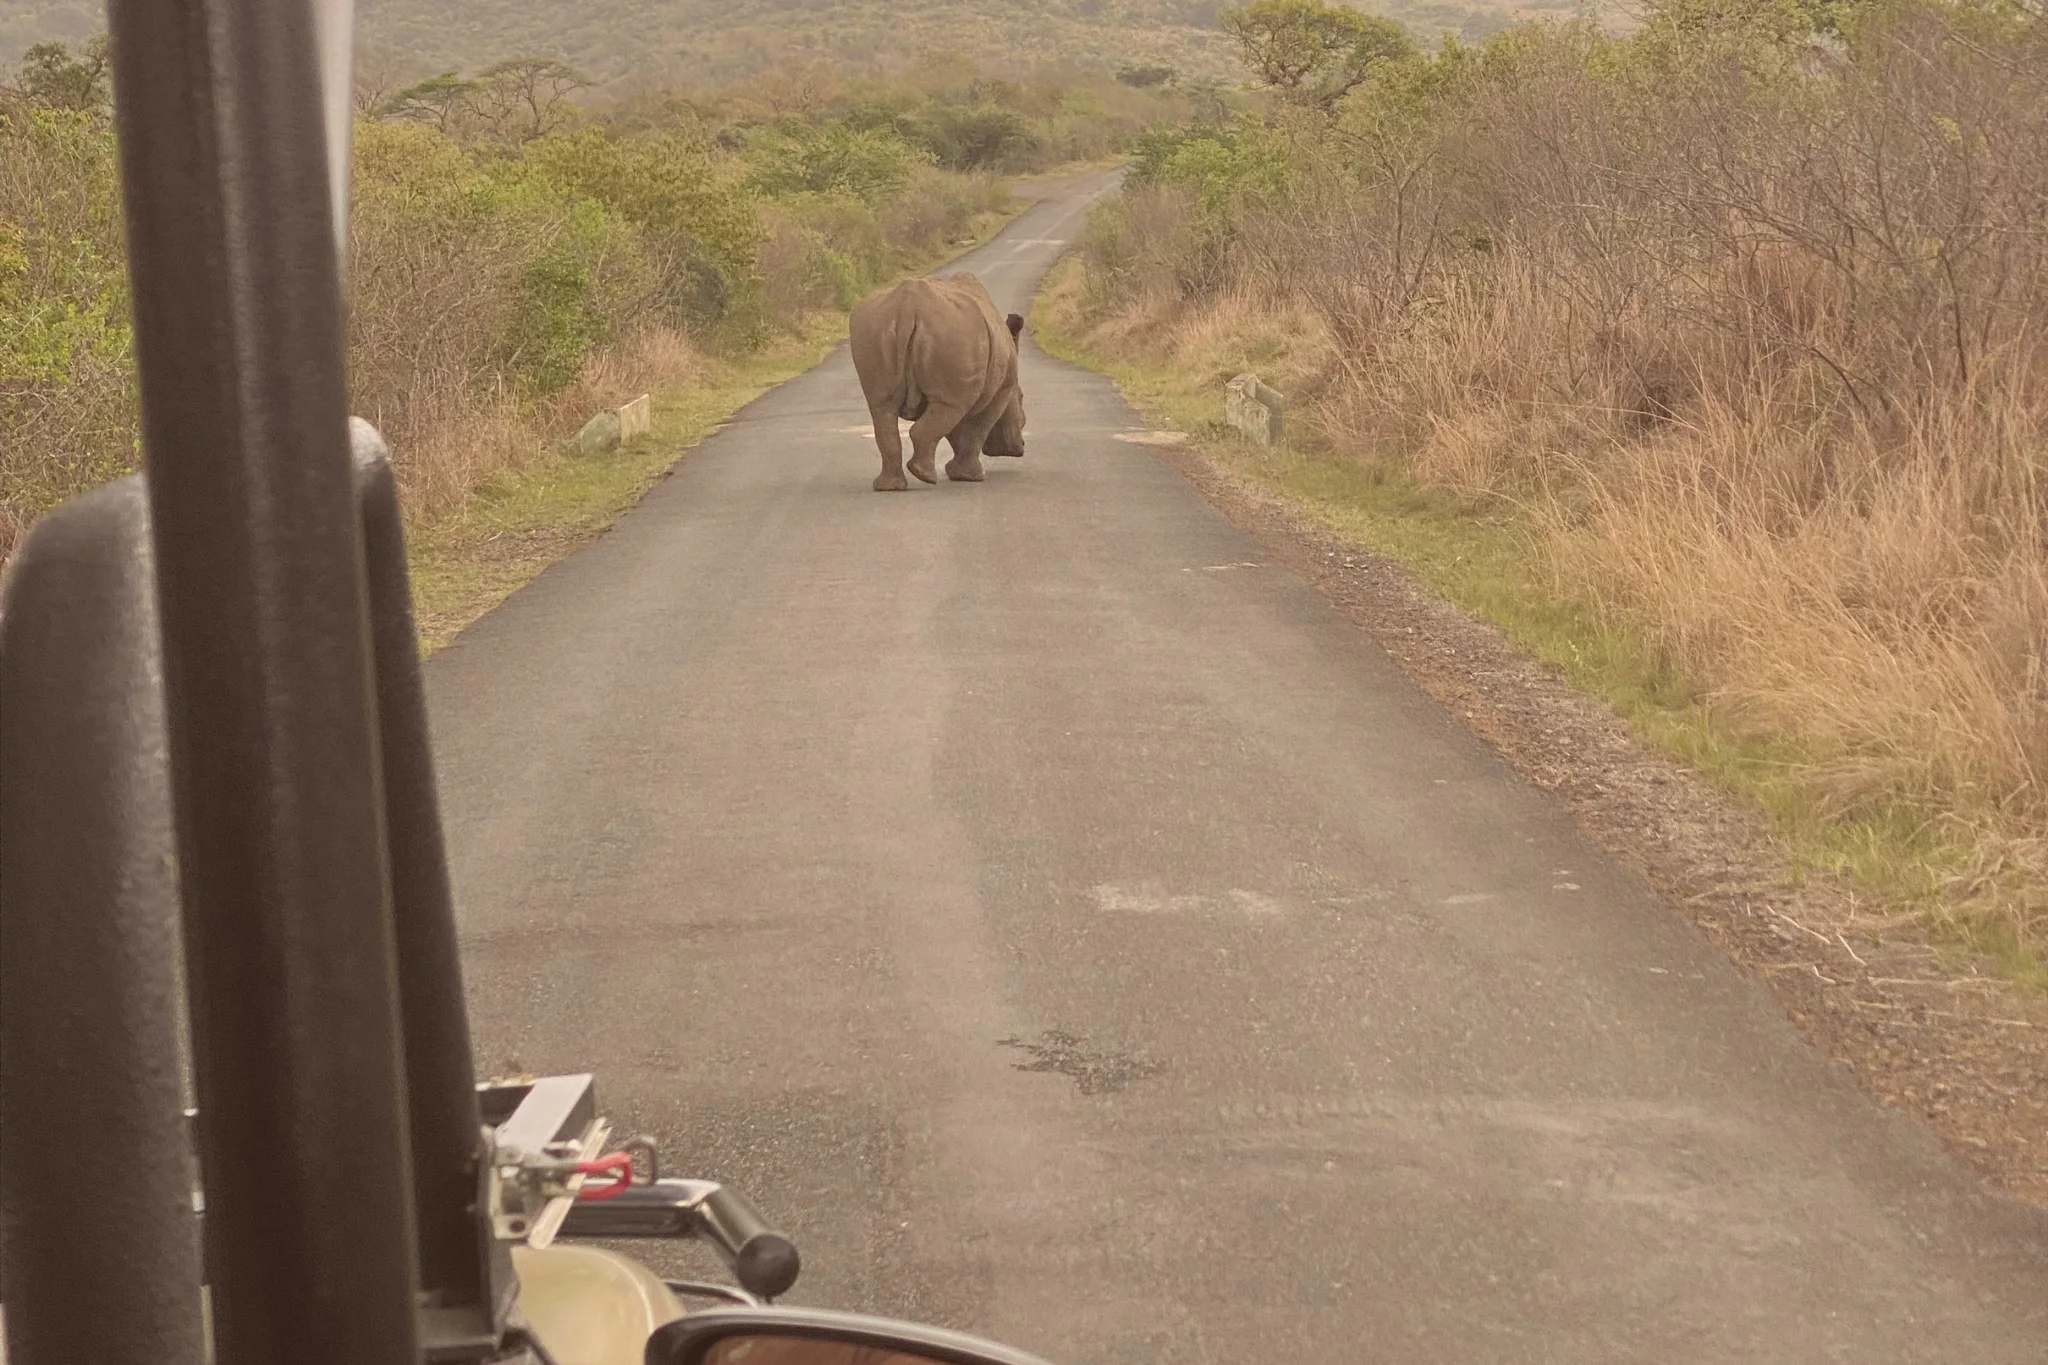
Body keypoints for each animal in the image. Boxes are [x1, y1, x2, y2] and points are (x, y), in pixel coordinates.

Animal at [849, 272, 1026, 492]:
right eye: (1021, 397)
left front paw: (955, 472)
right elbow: (977, 428)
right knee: (945, 410)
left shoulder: (961, 388)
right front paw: (972, 477)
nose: (1021, 447)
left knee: (882, 406)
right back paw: (924, 476)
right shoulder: (1000, 391)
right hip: (956, 335)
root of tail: (907, 306)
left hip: (877, 328)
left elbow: (954, 429)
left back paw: (889, 486)